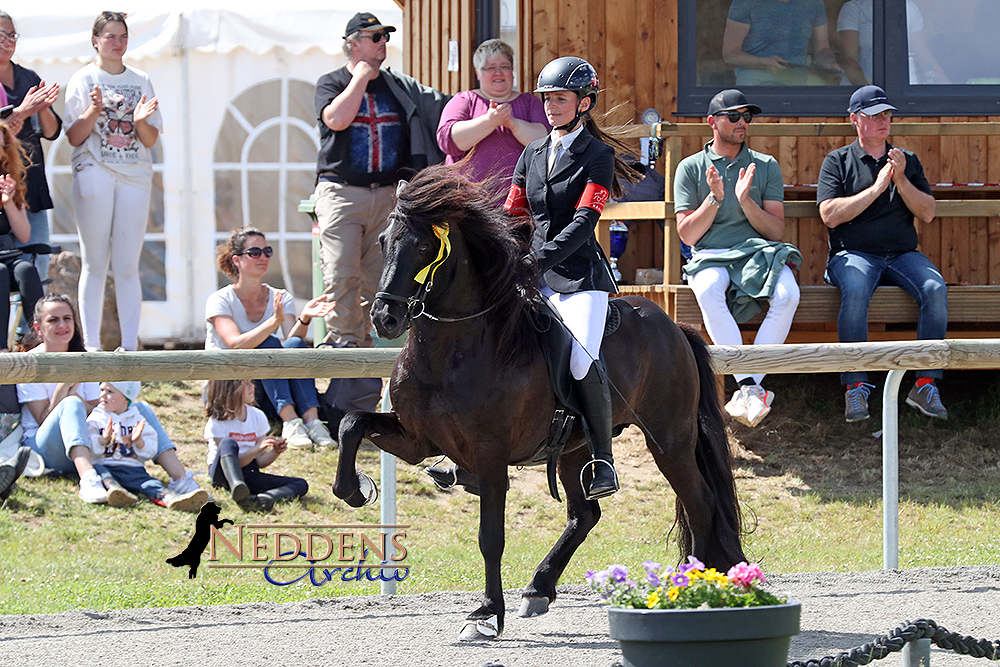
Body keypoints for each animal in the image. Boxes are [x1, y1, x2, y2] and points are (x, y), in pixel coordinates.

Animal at [332, 166, 748, 640]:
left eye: (423, 246)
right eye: (384, 241)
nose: (385, 318)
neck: (452, 349)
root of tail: (675, 327)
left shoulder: (490, 455)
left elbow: (490, 538)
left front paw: (485, 614)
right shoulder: (418, 440)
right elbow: (351, 423)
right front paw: (356, 489)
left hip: (669, 440)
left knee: (700, 502)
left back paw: (694, 583)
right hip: (576, 449)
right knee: (585, 515)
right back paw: (539, 588)